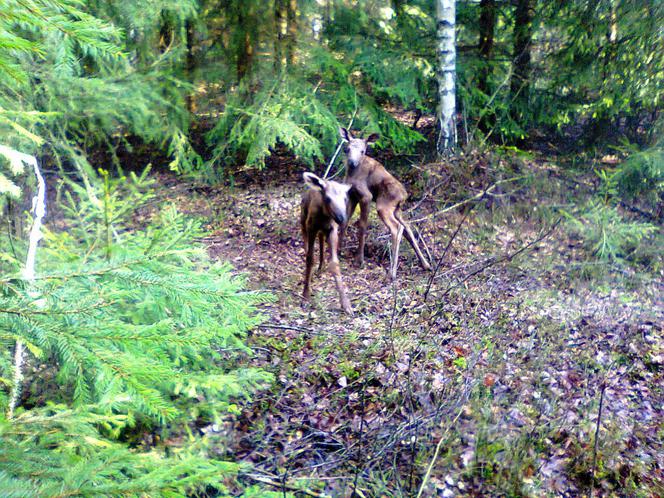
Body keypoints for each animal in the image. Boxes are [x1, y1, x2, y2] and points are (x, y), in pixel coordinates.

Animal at [300, 173, 352, 316]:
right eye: (328, 198)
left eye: (345, 198)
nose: (341, 218)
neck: (324, 216)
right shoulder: (311, 226)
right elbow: (310, 258)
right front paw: (306, 294)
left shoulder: (332, 229)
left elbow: (334, 263)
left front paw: (346, 304)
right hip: (303, 220)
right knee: (306, 242)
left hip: (323, 230)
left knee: (321, 239)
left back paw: (321, 266)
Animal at [340, 126, 434, 278]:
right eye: (347, 149)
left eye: (363, 151)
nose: (352, 162)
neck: (352, 174)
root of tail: (404, 196)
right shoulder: (352, 195)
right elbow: (345, 222)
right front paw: (337, 251)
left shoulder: (366, 196)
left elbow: (362, 226)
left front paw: (359, 260)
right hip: (396, 210)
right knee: (407, 227)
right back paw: (426, 264)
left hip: (383, 207)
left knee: (397, 228)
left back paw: (392, 272)